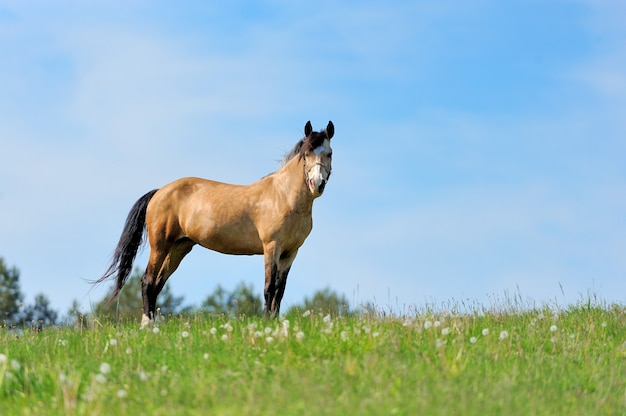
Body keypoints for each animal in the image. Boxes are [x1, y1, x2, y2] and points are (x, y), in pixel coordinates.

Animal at [95, 118, 334, 326]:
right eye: (306, 154)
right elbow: (268, 287)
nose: (317, 184)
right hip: (160, 245)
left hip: (179, 248)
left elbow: (279, 289)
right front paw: (267, 321)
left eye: (329, 153)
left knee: (157, 283)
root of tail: (159, 192)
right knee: (147, 280)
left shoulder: (290, 252)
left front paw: (274, 321)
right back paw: (147, 325)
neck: (283, 196)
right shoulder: (271, 247)